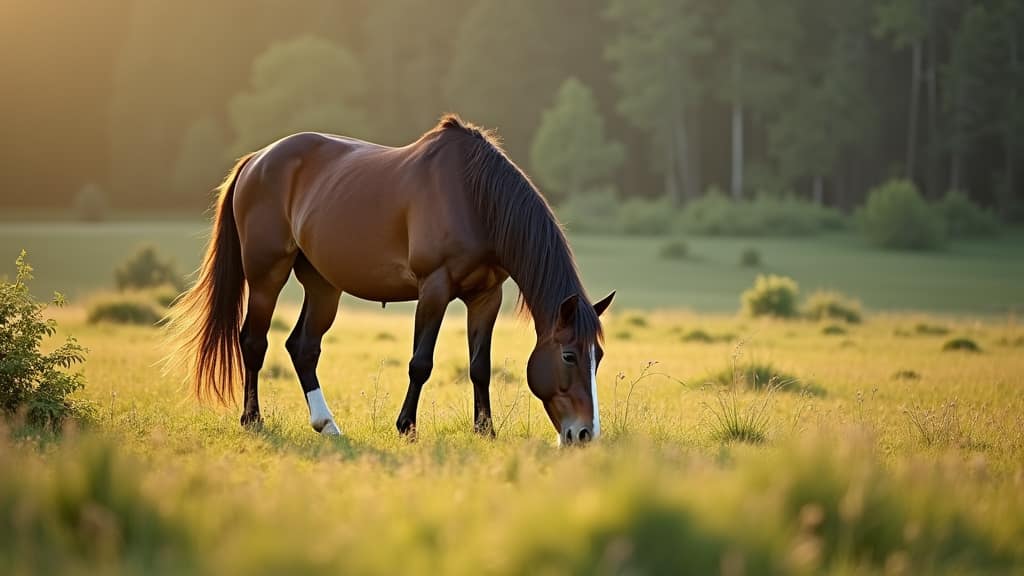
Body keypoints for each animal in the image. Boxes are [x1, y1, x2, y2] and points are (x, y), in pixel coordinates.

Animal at [169, 114, 615, 445]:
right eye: (569, 356)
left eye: (598, 356)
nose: (584, 434)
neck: (474, 199)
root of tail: (256, 160)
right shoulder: (434, 287)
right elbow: (421, 363)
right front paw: (406, 427)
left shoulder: (487, 296)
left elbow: (479, 366)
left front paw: (485, 430)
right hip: (266, 277)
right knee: (253, 342)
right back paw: (253, 419)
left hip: (323, 285)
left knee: (303, 347)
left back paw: (327, 424)